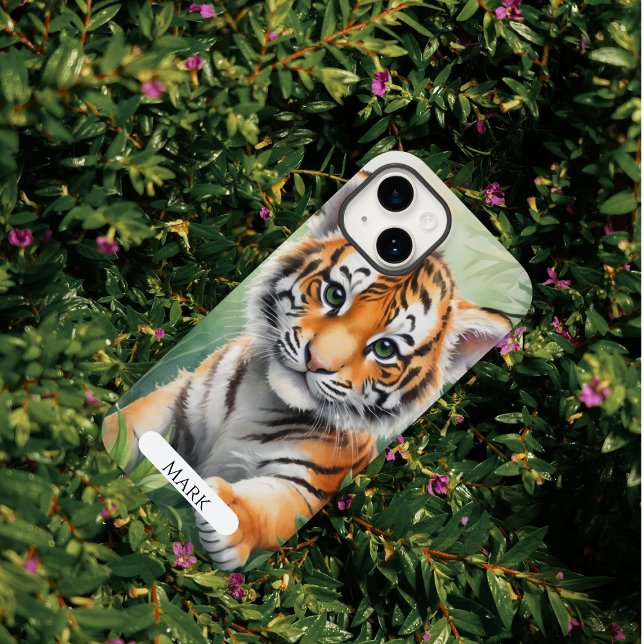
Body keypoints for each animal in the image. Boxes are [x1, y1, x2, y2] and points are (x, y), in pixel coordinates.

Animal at [103, 172, 511, 571]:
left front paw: (226, 514)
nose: (316, 361)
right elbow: (125, 427)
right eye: (334, 295)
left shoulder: (305, 484)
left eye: (385, 349)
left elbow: (270, 510)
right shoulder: (178, 404)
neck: (261, 398)